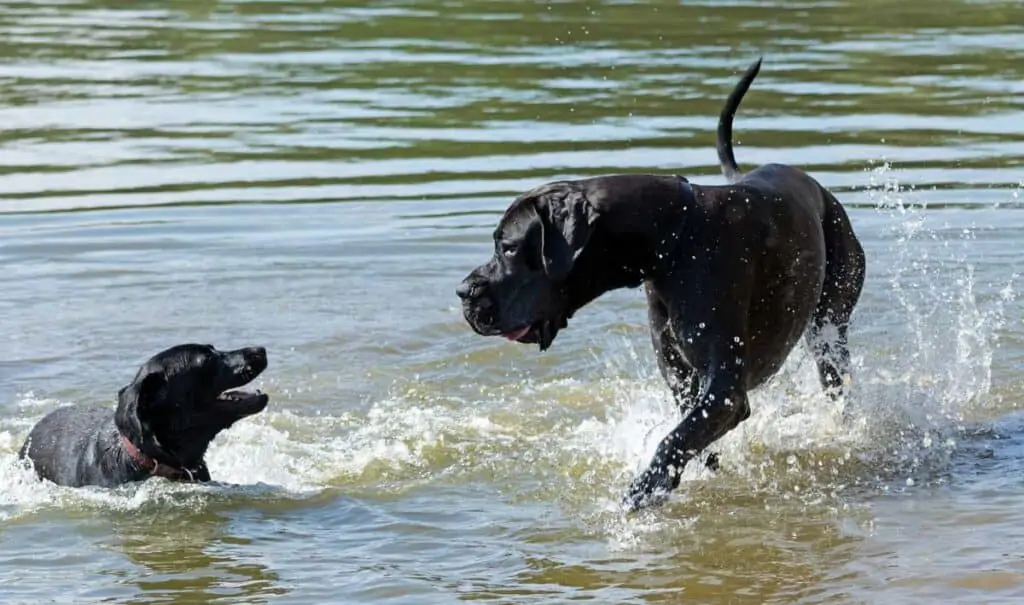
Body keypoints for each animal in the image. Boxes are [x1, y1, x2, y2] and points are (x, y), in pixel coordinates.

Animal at [456, 58, 864, 511]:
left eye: (508, 247)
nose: (464, 291)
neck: (674, 239)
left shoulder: (724, 392)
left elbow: (673, 439)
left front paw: (642, 490)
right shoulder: (684, 382)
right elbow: (691, 438)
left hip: (831, 328)